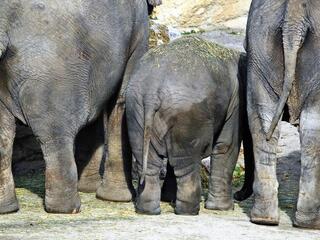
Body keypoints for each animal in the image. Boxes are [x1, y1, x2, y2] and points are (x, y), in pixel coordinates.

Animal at [0, 0, 154, 214]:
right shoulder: (139, 29)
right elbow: (121, 100)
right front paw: (116, 198)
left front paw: (89, 188)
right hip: (53, 71)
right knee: (55, 133)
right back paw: (66, 209)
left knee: (6, 135)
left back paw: (7, 209)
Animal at [125, 36, 252, 215]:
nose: (238, 195)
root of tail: (152, 93)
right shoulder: (236, 100)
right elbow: (226, 146)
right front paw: (223, 208)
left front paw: (168, 198)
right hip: (188, 117)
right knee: (186, 162)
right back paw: (189, 211)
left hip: (136, 110)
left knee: (151, 164)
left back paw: (148, 210)